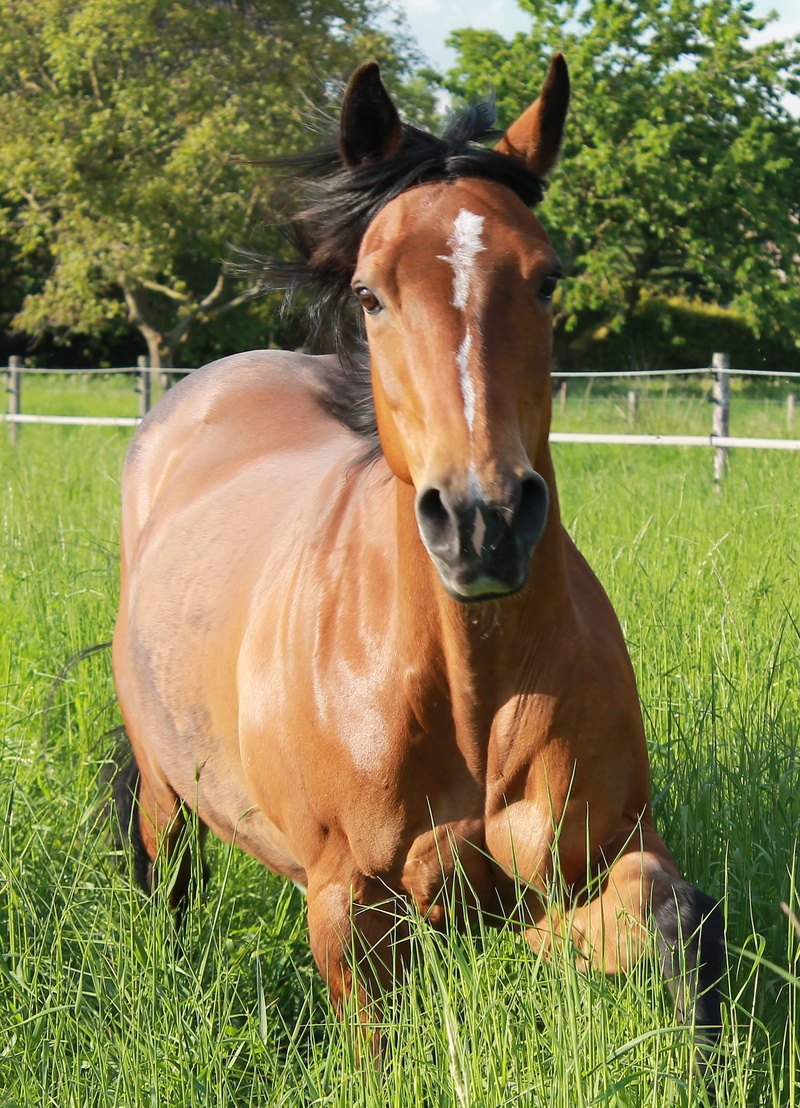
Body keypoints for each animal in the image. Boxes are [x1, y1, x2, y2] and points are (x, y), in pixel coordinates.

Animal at [112, 56, 724, 1042]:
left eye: (547, 279)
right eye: (369, 292)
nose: (483, 522)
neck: (469, 696)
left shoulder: (585, 865)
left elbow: (683, 926)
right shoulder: (352, 906)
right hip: (171, 796)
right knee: (171, 885)